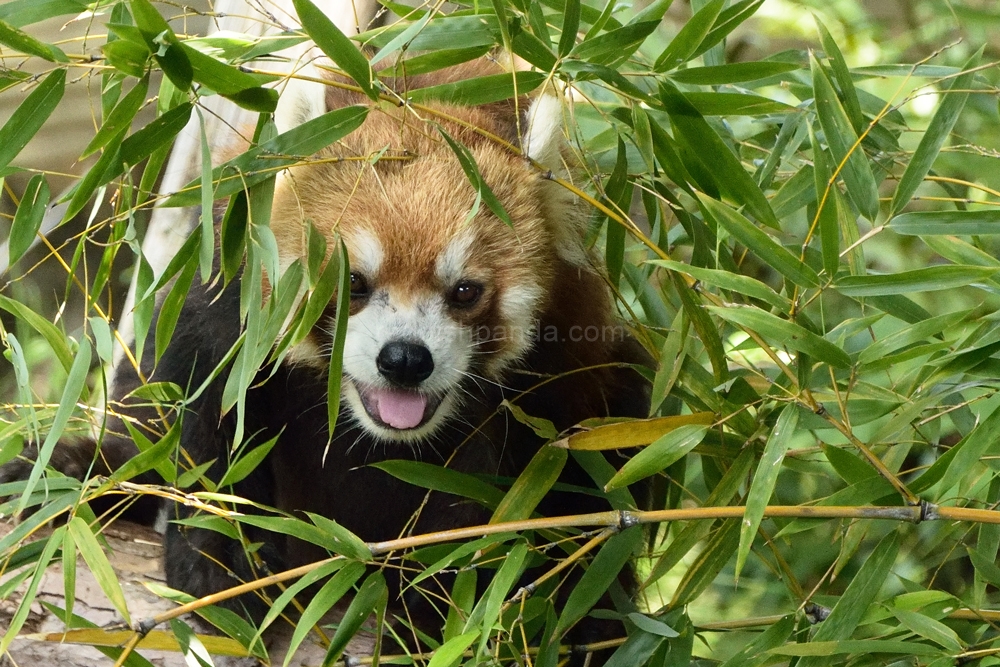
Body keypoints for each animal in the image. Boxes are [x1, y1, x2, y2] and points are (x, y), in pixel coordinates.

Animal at [3, 56, 652, 656]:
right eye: (353, 282)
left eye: (465, 291)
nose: (404, 359)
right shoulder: (229, 296)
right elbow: (204, 417)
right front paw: (220, 560)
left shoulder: (554, 382)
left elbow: (522, 498)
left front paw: (437, 611)